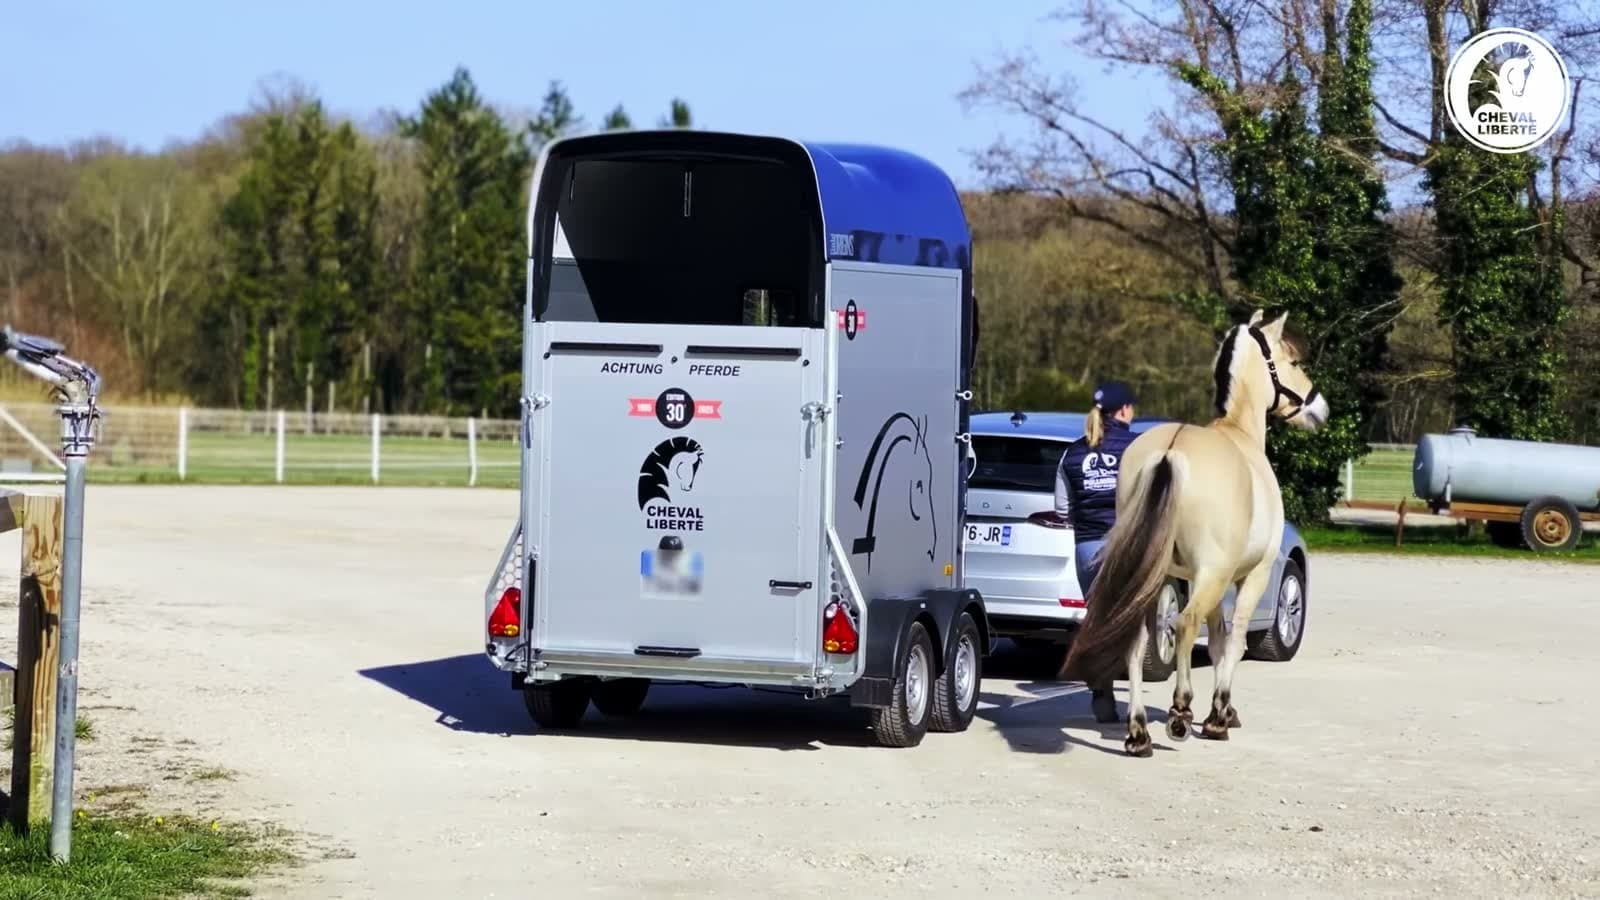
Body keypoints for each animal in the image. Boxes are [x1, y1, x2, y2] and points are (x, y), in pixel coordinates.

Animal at [1060, 309, 1328, 757]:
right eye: (1292, 361)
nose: (1320, 409)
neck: (1238, 433)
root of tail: (1169, 452)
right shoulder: (1248, 576)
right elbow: (1233, 639)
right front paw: (1219, 716)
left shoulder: (1208, 581)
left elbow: (1218, 639)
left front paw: (1223, 713)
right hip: (1208, 576)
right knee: (1184, 626)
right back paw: (1180, 712)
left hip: (1152, 577)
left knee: (1136, 639)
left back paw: (1138, 734)